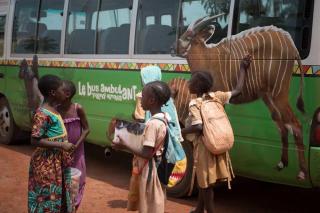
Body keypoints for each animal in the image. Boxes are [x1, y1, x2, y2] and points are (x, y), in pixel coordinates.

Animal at [172, 14, 308, 180]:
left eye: (189, 36)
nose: (172, 48)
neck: (208, 57)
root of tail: (293, 47)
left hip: (279, 93)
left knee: (295, 124)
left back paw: (302, 172)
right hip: (268, 96)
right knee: (281, 123)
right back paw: (282, 163)